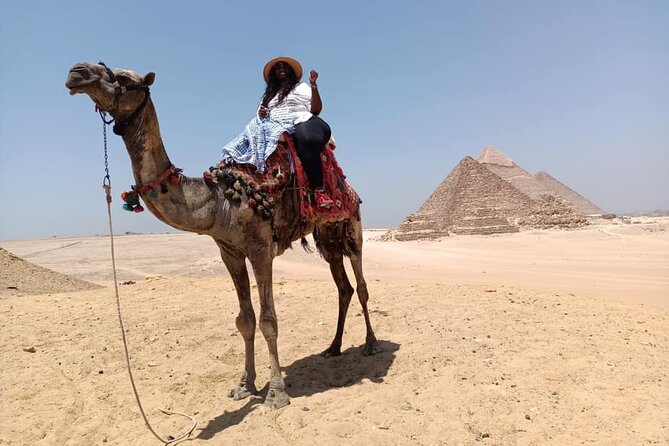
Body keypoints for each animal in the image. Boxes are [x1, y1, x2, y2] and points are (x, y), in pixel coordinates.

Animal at [65, 61, 379, 409]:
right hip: (327, 236)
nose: (77, 72)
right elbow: (245, 320)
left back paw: (371, 345)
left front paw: (276, 393)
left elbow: (268, 320)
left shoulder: (260, 248)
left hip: (352, 226)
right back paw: (333, 347)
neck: (219, 200)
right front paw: (244, 385)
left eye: (122, 77)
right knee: (343, 287)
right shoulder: (229, 250)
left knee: (361, 285)